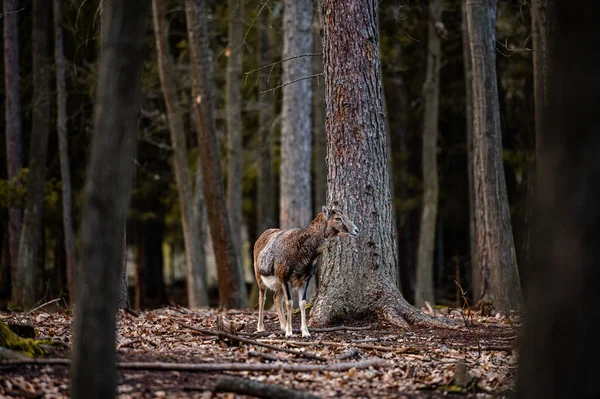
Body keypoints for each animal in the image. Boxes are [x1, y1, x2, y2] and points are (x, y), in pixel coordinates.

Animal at [252, 206, 358, 338]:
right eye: (338, 218)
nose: (356, 230)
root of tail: (260, 238)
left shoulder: (304, 280)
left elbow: (302, 303)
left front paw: (305, 333)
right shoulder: (284, 277)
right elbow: (289, 303)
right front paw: (289, 333)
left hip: (279, 285)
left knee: (276, 298)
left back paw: (283, 326)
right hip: (260, 276)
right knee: (262, 298)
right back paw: (260, 328)